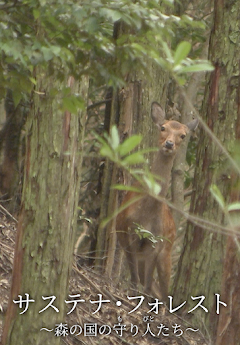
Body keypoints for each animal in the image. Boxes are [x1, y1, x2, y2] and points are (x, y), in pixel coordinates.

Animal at [115, 101, 198, 300]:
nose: (169, 143)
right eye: (163, 127)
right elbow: (135, 280)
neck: (146, 215)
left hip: (167, 250)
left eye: (183, 135)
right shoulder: (130, 234)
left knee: (163, 290)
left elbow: (145, 285)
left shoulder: (156, 243)